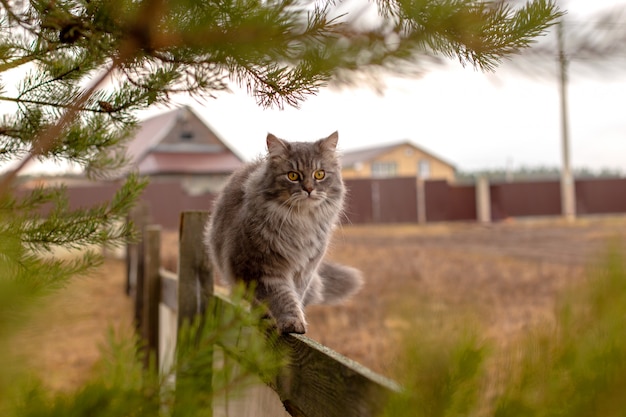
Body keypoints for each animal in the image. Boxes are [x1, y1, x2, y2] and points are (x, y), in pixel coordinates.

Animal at [204, 132, 360, 334]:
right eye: (293, 176)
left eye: (319, 174)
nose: (309, 189)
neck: (300, 222)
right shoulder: (260, 269)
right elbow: (281, 297)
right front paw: (292, 322)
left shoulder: (304, 270)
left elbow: (295, 296)